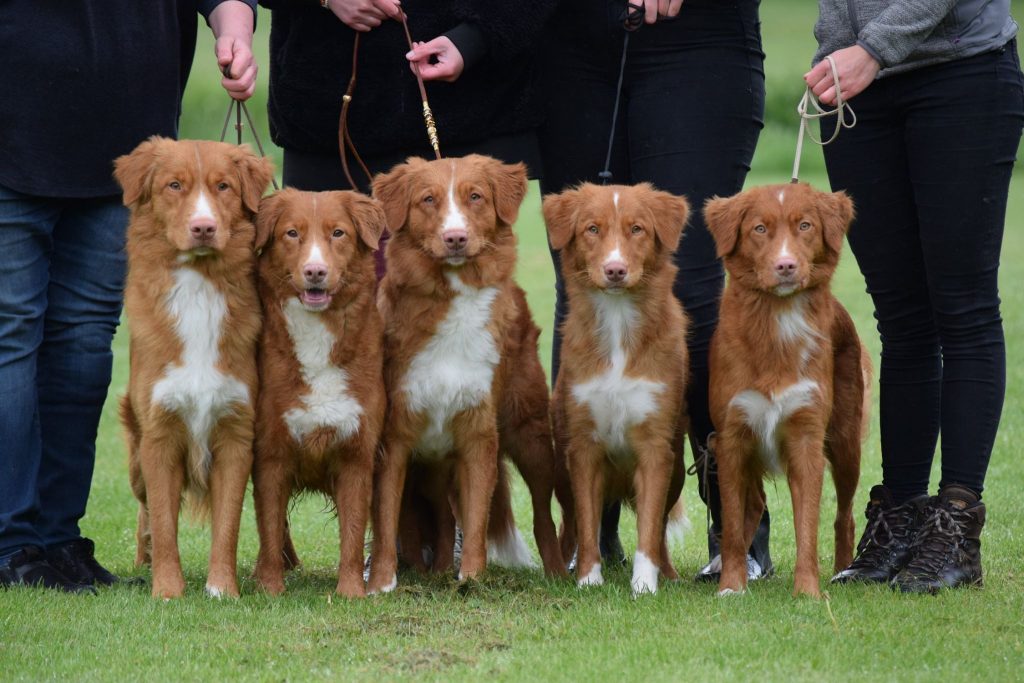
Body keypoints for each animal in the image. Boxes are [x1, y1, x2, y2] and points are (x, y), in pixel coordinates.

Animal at [114, 135, 274, 598]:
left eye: (223, 186)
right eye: (174, 186)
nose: (204, 227)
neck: (200, 286)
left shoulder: (237, 435)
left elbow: (229, 524)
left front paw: (223, 589)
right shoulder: (158, 436)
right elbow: (165, 521)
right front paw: (168, 590)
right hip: (135, 458)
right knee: (145, 511)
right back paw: (145, 560)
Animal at [251, 188, 387, 598]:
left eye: (338, 233)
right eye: (292, 233)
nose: (315, 271)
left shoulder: (357, 454)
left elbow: (353, 533)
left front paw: (351, 592)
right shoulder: (271, 455)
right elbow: (269, 526)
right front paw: (270, 588)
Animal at [364, 154, 569, 593]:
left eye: (475, 197)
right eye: (428, 199)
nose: (456, 237)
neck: (453, 299)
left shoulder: (478, 433)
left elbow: (476, 519)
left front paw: (472, 578)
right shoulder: (396, 438)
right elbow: (387, 519)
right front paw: (381, 583)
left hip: (529, 433)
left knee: (543, 513)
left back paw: (559, 572)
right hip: (435, 461)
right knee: (441, 515)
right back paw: (439, 569)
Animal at [540, 183, 692, 598]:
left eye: (637, 229)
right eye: (592, 229)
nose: (615, 270)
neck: (618, 322)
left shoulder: (656, 449)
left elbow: (649, 528)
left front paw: (644, 585)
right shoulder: (583, 448)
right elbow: (588, 523)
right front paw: (588, 579)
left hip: (677, 471)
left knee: (659, 528)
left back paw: (668, 574)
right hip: (560, 471)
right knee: (572, 524)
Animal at [708, 181, 868, 598]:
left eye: (805, 226)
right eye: (759, 229)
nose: (786, 266)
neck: (776, 321)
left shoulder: (806, 438)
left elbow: (807, 526)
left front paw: (808, 591)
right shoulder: (731, 438)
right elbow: (732, 525)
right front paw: (731, 586)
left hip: (845, 444)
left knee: (844, 515)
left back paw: (843, 570)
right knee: (752, 507)